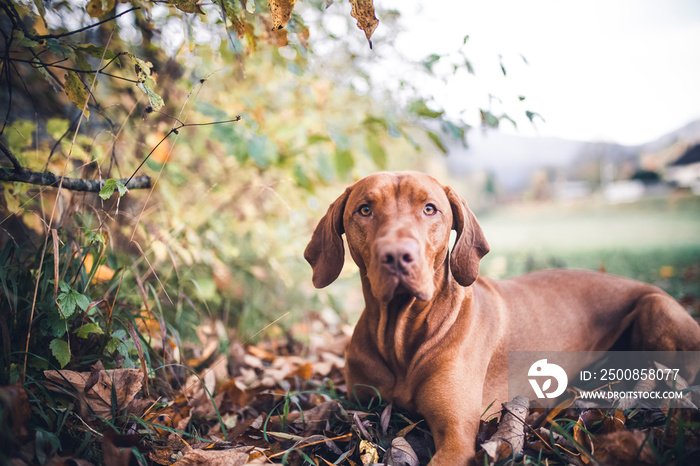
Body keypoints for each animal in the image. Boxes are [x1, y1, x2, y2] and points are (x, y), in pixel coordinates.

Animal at [304, 170, 700, 462]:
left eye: (430, 209)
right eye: (364, 210)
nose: (398, 255)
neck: (402, 333)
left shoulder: (457, 436)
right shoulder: (358, 402)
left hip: (657, 307)